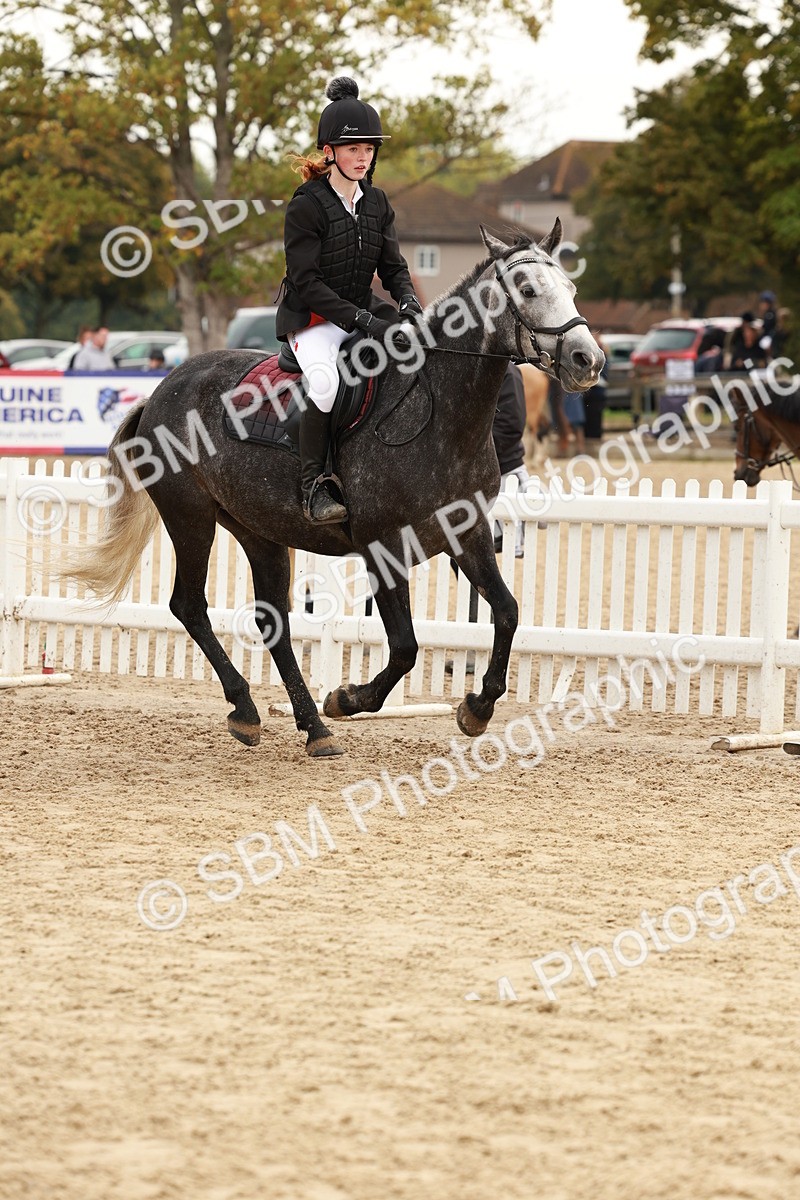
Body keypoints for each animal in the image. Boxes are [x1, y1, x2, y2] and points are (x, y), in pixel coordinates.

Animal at [70, 222, 603, 758]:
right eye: (529, 290)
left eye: (572, 288)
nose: (589, 360)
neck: (439, 411)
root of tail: (162, 389)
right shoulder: (383, 546)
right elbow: (405, 647)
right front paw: (348, 699)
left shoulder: (467, 534)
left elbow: (507, 612)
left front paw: (478, 707)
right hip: (191, 517)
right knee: (189, 606)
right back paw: (248, 709)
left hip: (259, 531)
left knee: (273, 623)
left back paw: (311, 726)